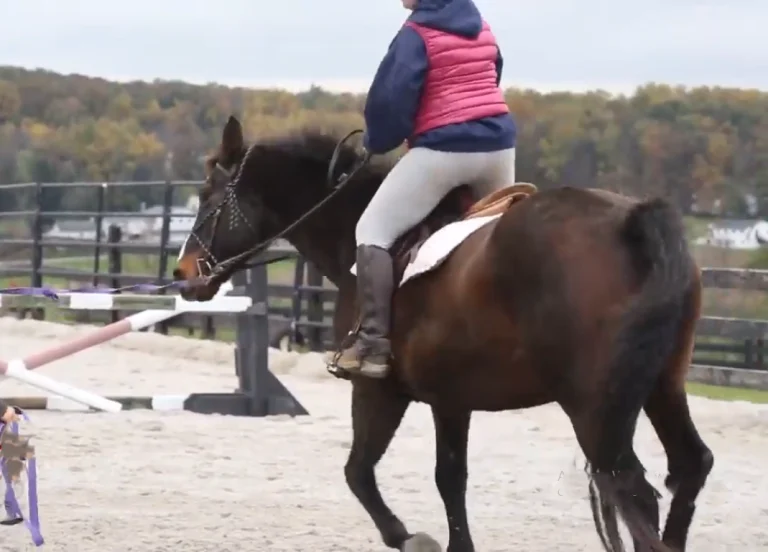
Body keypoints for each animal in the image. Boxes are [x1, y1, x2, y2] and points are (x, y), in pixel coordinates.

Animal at [173, 116, 714, 552]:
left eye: (208, 197)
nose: (183, 273)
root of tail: (633, 220)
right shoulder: (453, 397)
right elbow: (449, 476)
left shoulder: (380, 389)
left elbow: (363, 472)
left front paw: (410, 538)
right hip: (661, 386)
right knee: (689, 466)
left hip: (590, 403)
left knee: (632, 485)